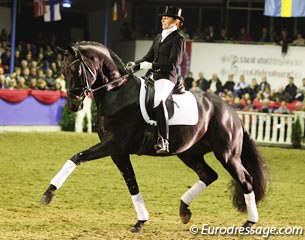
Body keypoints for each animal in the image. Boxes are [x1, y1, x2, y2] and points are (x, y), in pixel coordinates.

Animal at [41, 41, 266, 232]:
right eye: (62, 70)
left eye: (76, 70)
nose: (73, 104)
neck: (118, 92)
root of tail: (232, 111)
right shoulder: (118, 152)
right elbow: (132, 183)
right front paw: (141, 221)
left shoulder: (114, 145)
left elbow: (77, 157)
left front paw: (48, 193)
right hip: (189, 153)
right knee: (209, 175)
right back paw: (184, 210)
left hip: (227, 154)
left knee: (246, 180)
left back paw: (249, 223)